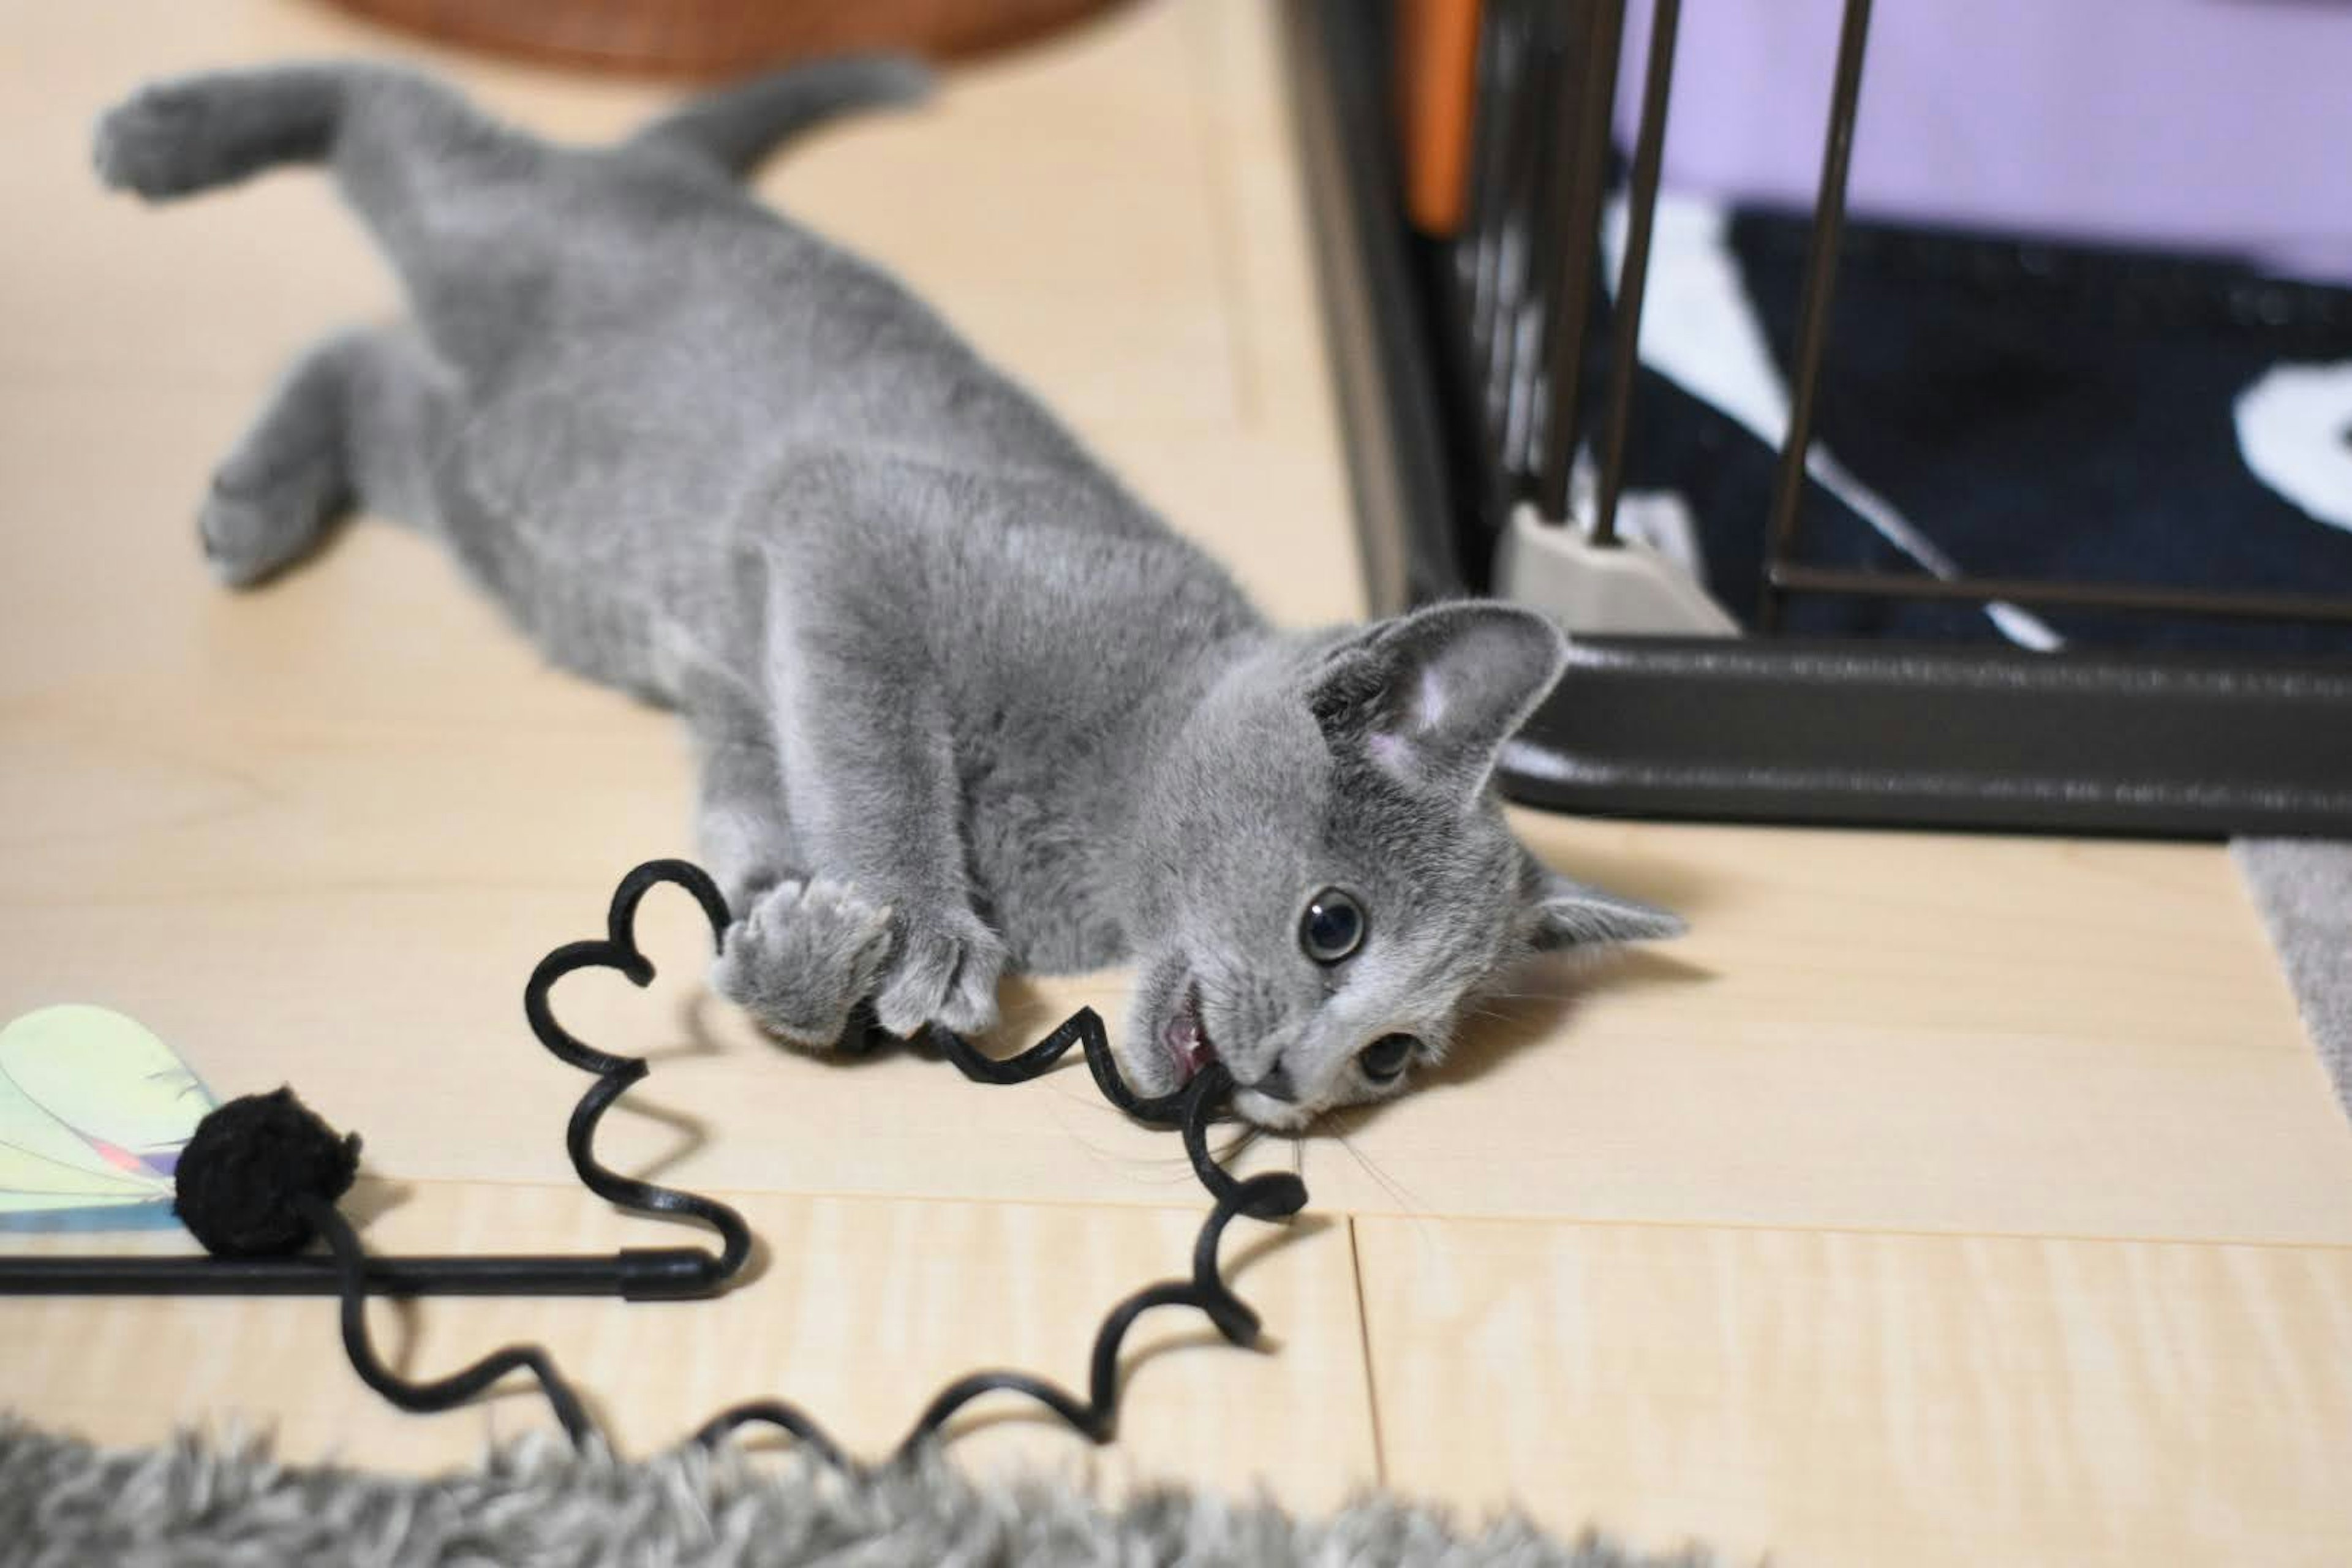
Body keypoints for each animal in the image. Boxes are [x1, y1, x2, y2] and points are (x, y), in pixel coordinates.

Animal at [91, 58, 1675, 1128]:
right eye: (1330, 925)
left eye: (1395, 1057)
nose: (1293, 1088)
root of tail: (665, 172)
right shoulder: (859, 529)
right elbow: (874, 742)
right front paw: (920, 921)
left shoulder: (747, 703)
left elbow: (755, 839)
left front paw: (795, 947)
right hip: (489, 244)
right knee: (394, 115)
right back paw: (163, 139)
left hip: (488, 481)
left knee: (363, 365)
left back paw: (255, 496)